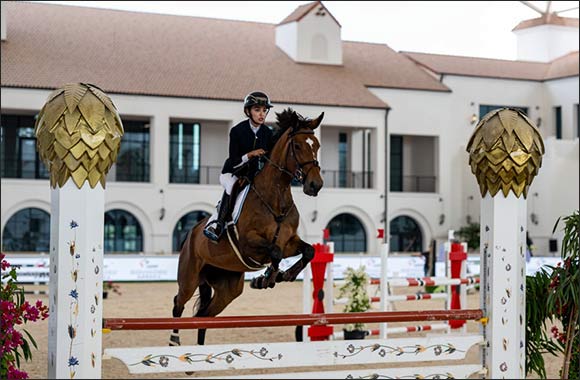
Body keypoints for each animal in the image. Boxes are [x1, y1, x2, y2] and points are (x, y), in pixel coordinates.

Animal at [170, 107, 324, 348]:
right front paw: (268, 277)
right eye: (298, 146)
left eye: (316, 145)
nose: (315, 185)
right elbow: (274, 252)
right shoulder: (248, 243)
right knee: (179, 303)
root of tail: (190, 234)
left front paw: (284, 275)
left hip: (228, 288)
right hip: (189, 277)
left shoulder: (289, 242)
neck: (275, 197)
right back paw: (174, 341)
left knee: (203, 316)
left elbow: (308, 251)